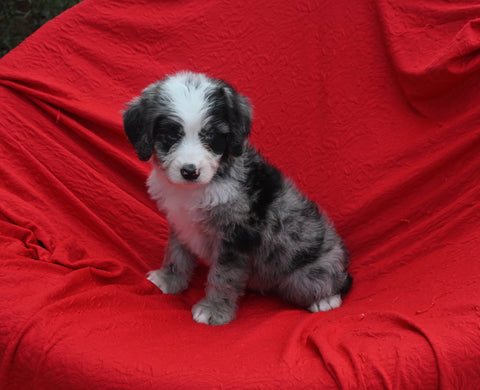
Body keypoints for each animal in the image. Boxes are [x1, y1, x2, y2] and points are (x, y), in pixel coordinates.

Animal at [122, 71, 350, 326]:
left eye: (211, 135)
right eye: (171, 135)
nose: (190, 171)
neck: (198, 188)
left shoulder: (237, 236)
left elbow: (224, 276)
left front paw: (213, 310)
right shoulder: (180, 223)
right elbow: (176, 254)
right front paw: (168, 280)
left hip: (305, 274)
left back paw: (325, 299)